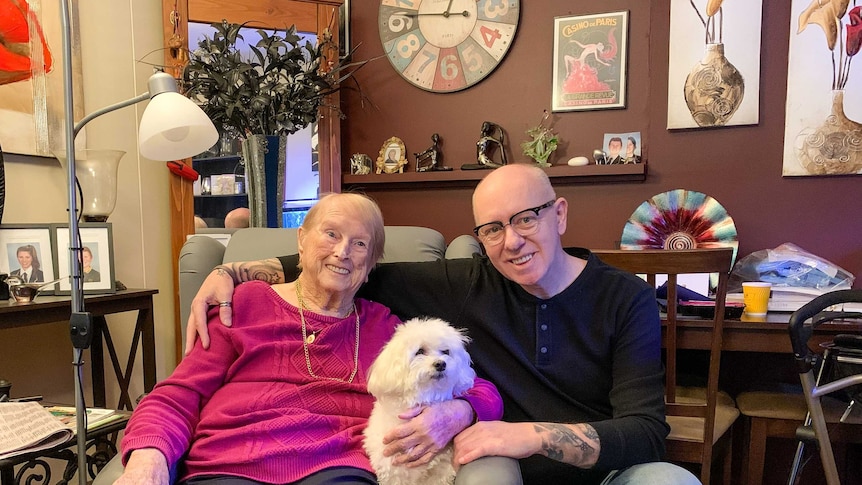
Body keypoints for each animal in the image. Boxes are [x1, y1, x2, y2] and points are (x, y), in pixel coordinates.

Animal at [362, 318, 476, 484]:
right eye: (420, 352)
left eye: (446, 352)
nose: (441, 364)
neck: (425, 396)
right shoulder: (394, 472)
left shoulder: (442, 472)